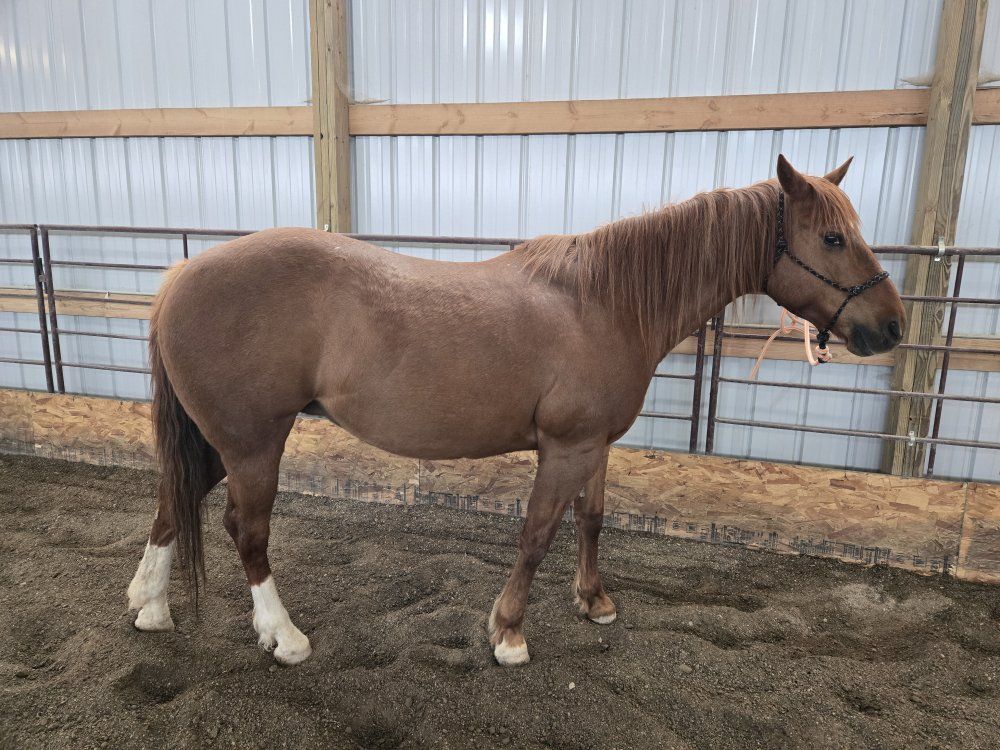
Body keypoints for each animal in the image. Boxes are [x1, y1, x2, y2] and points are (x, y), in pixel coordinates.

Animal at [126, 154, 905, 666]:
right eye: (832, 237)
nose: (892, 327)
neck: (602, 302)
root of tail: (178, 279)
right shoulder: (564, 448)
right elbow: (536, 535)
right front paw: (508, 633)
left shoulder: (595, 445)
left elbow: (591, 521)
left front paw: (594, 602)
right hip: (253, 443)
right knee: (244, 531)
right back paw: (282, 636)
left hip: (214, 441)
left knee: (173, 503)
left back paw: (151, 605)